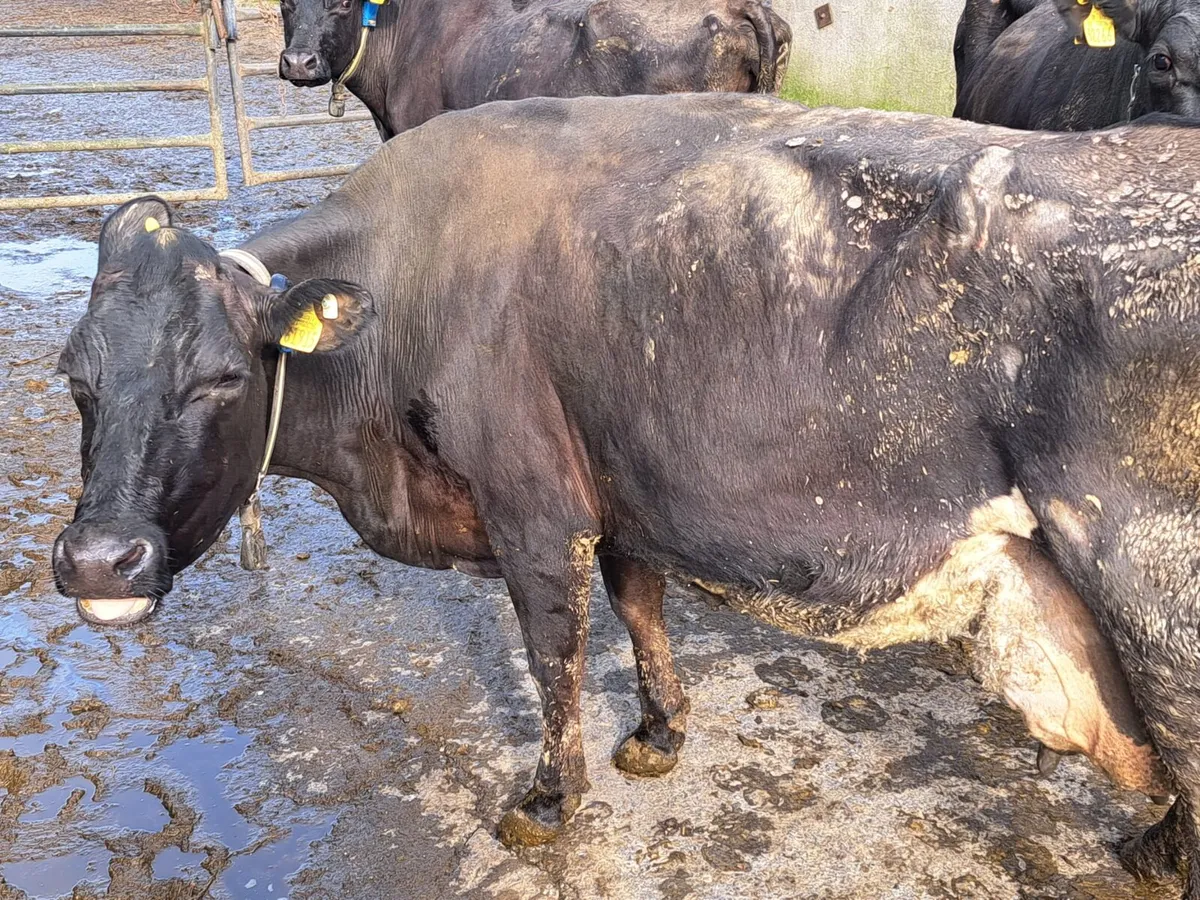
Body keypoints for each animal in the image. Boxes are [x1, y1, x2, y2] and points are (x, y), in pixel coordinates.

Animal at [51, 94, 1200, 892]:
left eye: (220, 378)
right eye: (75, 377)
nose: (100, 558)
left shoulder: (535, 506)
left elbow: (554, 654)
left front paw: (549, 800)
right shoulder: (626, 489)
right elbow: (641, 607)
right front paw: (659, 733)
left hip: (1148, 581)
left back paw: (1151, 857)